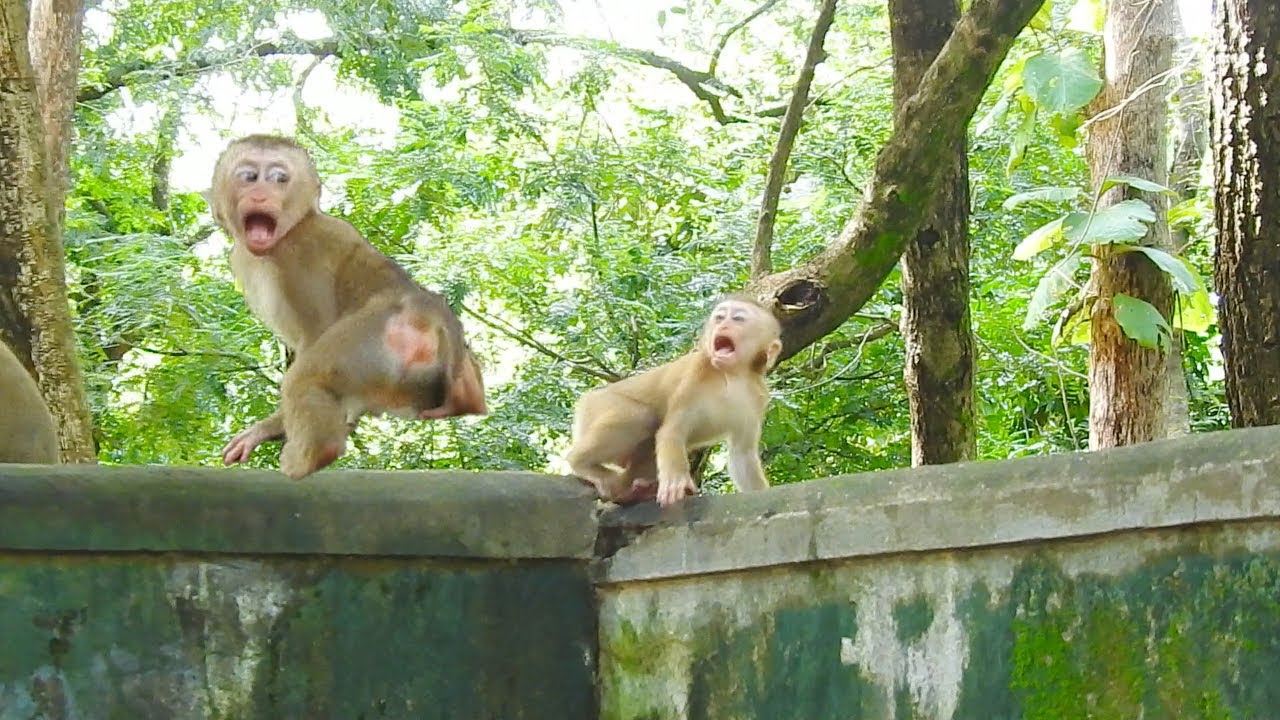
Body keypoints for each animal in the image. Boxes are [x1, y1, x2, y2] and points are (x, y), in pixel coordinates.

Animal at [206, 134, 486, 479]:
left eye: (279, 178)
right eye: (248, 176)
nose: (260, 194)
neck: (295, 225)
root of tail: (425, 316)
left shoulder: (298, 257)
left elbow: (314, 331)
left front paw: (269, 428)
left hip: (367, 342)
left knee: (306, 377)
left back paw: (311, 457)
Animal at [566, 296, 782, 507]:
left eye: (737, 319)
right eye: (720, 317)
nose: (723, 324)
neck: (731, 376)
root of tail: (587, 399)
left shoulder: (757, 399)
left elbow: (742, 454)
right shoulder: (693, 379)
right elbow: (672, 432)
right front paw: (676, 481)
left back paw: (633, 493)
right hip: (598, 406)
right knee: (642, 416)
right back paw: (581, 463)